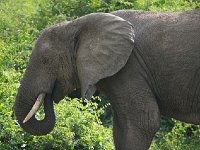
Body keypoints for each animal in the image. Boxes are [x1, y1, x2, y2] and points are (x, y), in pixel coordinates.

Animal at [14, 8, 200, 149]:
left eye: (46, 60)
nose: (48, 93)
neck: (75, 25)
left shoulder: (129, 67)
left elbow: (143, 123)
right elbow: (120, 129)